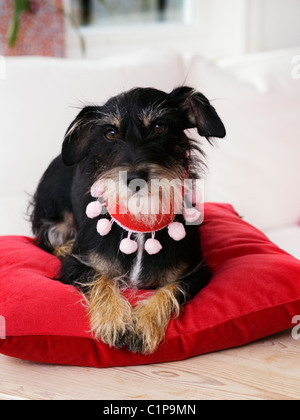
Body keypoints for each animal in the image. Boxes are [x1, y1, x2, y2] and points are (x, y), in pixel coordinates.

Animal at [29, 86, 225, 354]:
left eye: (159, 127)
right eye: (110, 133)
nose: (134, 178)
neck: (141, 218)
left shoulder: (197, 272)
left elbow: (171, 289)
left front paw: (144, 324)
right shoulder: (76, 265)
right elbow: (99, 278)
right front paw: (113, 321)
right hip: (54, 216)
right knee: (46, 240)